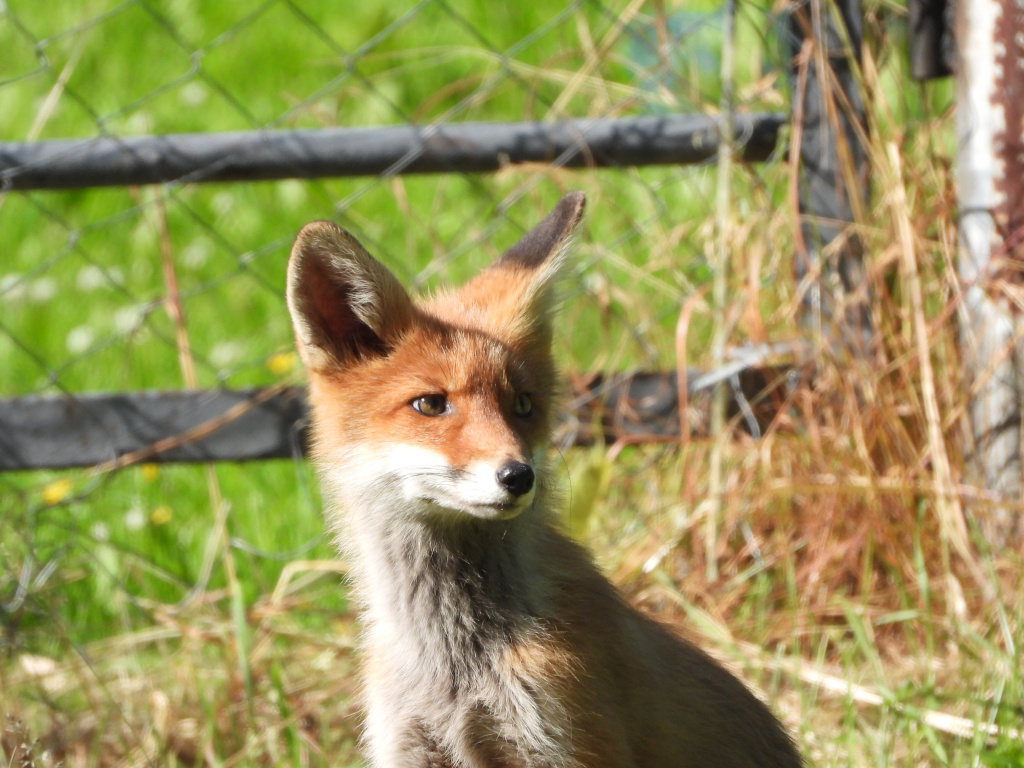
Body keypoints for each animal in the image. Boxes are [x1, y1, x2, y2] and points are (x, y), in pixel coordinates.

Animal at [286, 192, 803, 768]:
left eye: (523, 404)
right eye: (430, 404)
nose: (518, 476)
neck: (458, 663)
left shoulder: (563, 742)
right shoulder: (410, 748)